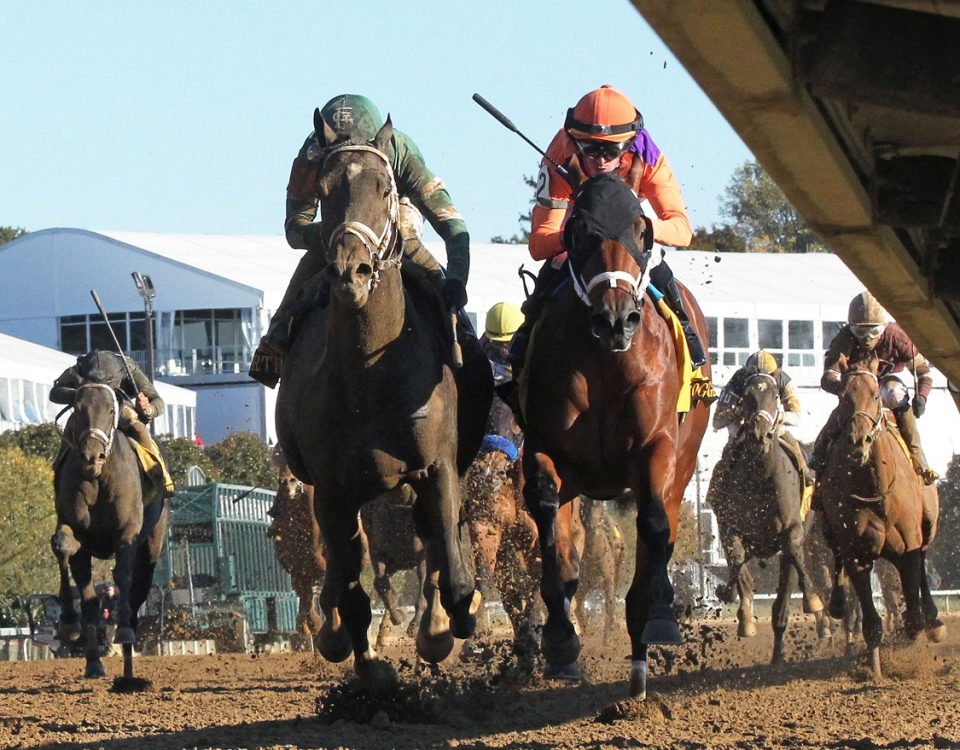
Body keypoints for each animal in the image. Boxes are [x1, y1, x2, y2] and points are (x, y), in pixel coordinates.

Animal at [50, 384, 169, 684]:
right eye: (78, 408)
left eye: (111, 410)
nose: (92, 456)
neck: (99, 478)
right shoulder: (77, 533)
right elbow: (63, 547)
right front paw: (71, 626)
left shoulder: (126, 533)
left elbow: (122, 576)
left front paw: (123, 630)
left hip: (152, 544)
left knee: (137, 593)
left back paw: (128, 656)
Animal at [274, 111, 492, 680]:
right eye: (325, 190)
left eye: (385, 186)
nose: (351, 270)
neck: (368, 379)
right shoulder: (331, 490)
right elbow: (351, 589)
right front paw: (369, 666)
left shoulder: (436, 467)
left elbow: (451, 573)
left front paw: (447, 627)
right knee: (340, 577)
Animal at [516, 172, 712, 700]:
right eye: (580, 233)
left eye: (642, 233)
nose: (616, 320)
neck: (605, 362)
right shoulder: (544, 448)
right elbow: (552, 534)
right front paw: (561, 640)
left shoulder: (656, 449)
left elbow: (654, 525)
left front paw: (660, 616)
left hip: (684, 464)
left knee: (659, 532)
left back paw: (642, 660)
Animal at [708, 372, 820, 664]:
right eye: (747, 397)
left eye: (776, 395)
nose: (760, 432)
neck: (760, 475)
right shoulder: (729, 527)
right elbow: (736, 560)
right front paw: (734, 600)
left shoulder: (793, 527)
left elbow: (792, 546)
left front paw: (813, 599)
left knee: (785, 589)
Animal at [816, 356, 944, 680]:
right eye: (842, 397)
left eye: (875, 395)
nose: (858, 441)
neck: (875, 490)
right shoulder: (856, 551)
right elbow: (871, 622)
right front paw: (874, 669)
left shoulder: (909, 545)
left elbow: (913, 614)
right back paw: (838, 604)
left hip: (928, 525)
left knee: (923, 564)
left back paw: (934, 621)